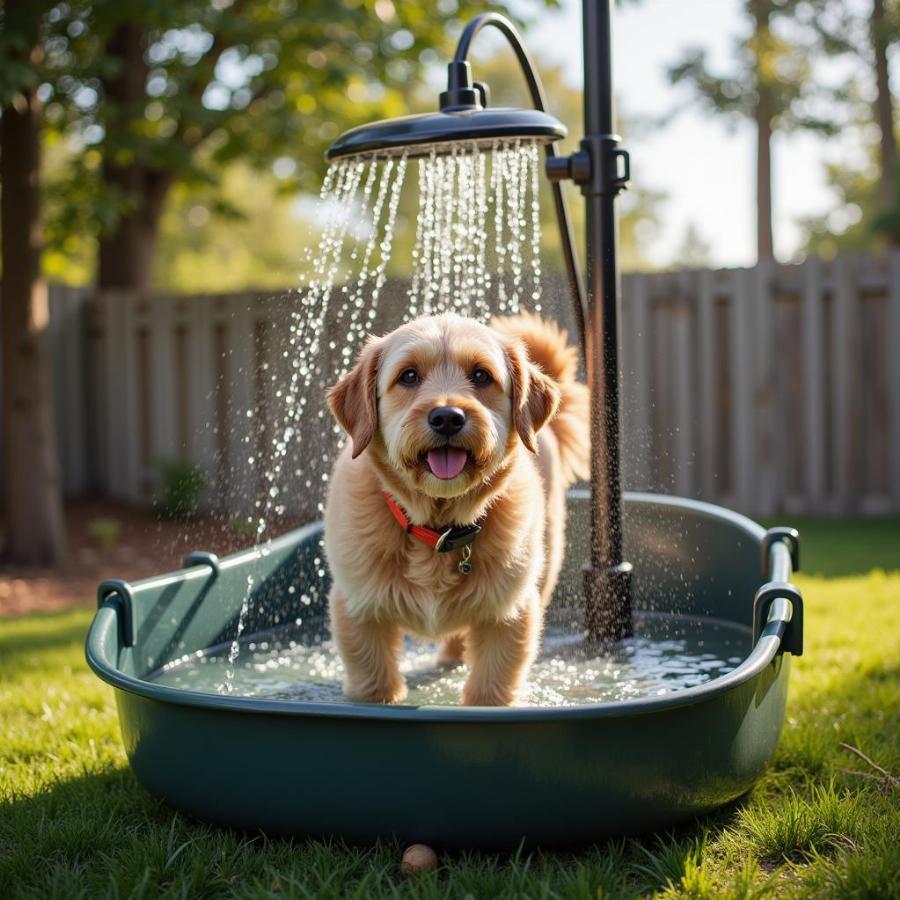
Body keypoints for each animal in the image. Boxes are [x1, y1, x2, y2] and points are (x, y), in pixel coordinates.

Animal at [324, 312, 592, 708]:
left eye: (481, 375)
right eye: (408, 376)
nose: (447, 417)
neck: (437, 527)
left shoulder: (508, 615)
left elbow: (490, 690)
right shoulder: (359, 612)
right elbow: (373, 685)